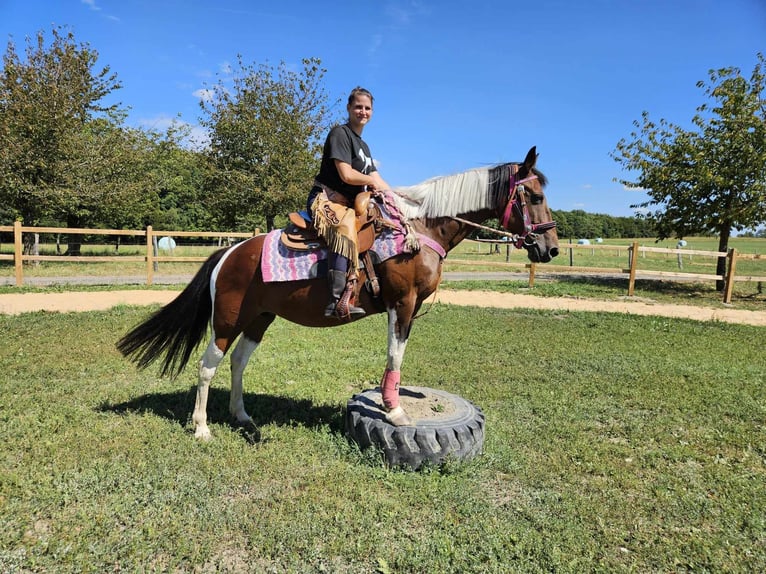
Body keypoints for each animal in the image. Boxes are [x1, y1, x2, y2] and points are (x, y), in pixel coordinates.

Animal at [115, 146, 560, 438]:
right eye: (536, 196)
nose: (551, 248)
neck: (420, 230)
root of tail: (230, 253)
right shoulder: (402, 304)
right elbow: (394, 354)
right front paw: (395, 410)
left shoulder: (409, 309)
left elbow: (397, 355)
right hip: (225, 319)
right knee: (208, 366)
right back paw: (202, 428)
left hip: (259, 318)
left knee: (238, 362)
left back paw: (242, 418)